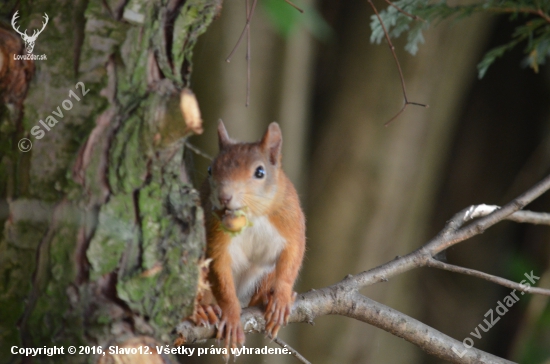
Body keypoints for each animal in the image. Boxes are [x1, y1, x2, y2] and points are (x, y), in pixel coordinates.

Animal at [194, 121, 306, 348]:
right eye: (210, 170)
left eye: (260, 172)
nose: (224, 197)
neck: (251, 216)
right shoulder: (216, 234)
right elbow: (221, 272)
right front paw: (231, 315)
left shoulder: (290, 221)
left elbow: (292, 256)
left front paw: (281, 297)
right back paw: (202, 309)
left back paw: (266, 298)